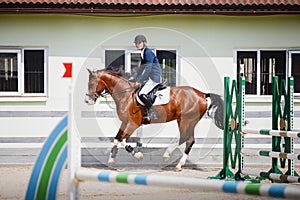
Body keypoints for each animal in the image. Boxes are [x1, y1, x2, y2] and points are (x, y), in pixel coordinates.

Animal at [84, 66, 223, 171]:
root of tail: (202, 94)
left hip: (186, 120)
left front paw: (138, 155)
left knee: (185, 138)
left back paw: (167, 156)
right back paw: (178, 164)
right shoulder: (125, 122)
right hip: (189, 121)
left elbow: (123, 141)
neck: (126, 94)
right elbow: (116, 139)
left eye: (92, 84)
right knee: (190, 140)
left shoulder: (133, 124)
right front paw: (111, 160)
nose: (87, 101)